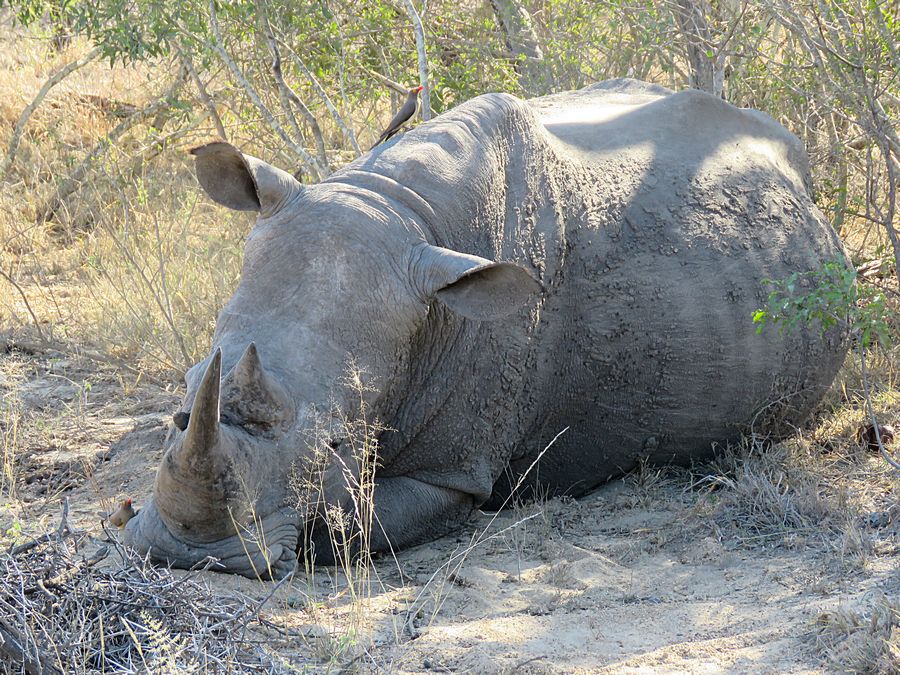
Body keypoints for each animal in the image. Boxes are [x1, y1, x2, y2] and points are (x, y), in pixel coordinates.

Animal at [124, 79, 847, 579]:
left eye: (335, 444)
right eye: (182, 403)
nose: (191, 554)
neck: (400, 211)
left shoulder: (453, 471)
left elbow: (344, 528)